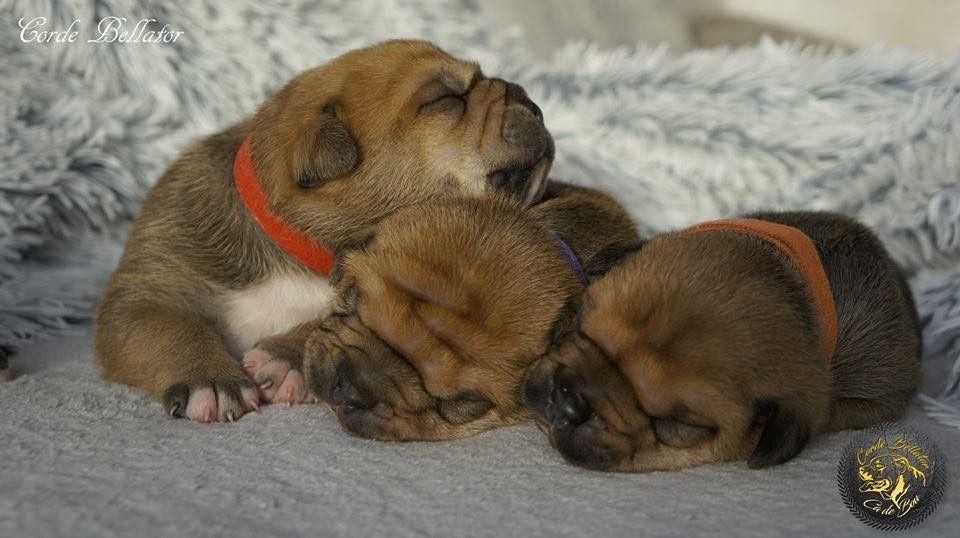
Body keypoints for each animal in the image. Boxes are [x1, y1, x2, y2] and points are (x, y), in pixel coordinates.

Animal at [94, 40, 554, 422]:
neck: (303, 249)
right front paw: (211, 379)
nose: (536, 106)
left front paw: (285, 357)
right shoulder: (147, 288)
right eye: (444, 98)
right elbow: (171, 327)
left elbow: (327, 320)